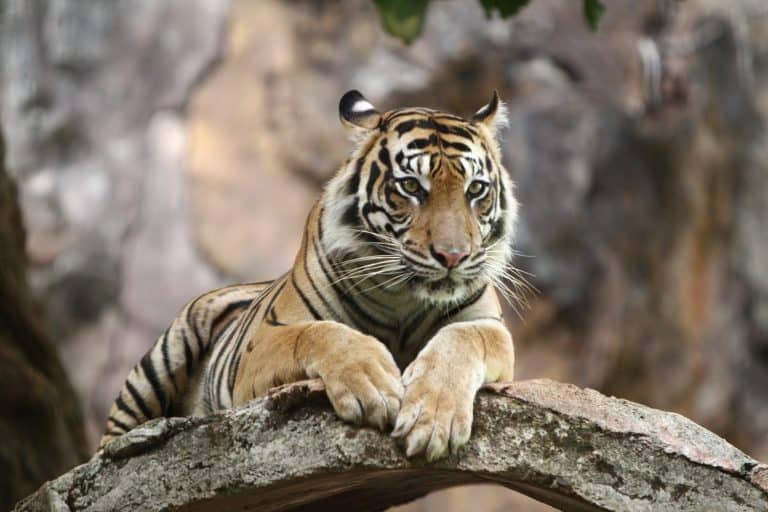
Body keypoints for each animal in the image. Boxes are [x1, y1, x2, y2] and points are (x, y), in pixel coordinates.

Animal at [100, 90, 519, 462]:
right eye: (411, 186)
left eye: (475, 190)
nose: (453, 256)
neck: (403, 298)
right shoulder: (264, 340)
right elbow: (319, 334)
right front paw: (371, 385)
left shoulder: (489, 326)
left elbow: (462, 341)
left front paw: (433, 420)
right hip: (166, 352)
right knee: (109, 448)